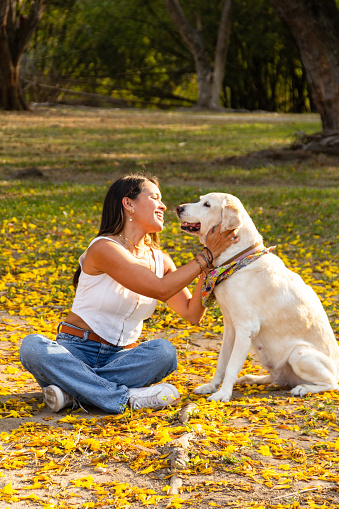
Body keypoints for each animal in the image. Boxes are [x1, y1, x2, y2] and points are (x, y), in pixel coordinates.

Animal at [178, 192, 339, 398]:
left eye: (207, 204)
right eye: (199, 200)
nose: (179, 208)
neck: (239, 259)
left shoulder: (246, 328)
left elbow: (231, 366)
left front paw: (223, 394)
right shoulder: (230, 327)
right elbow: (222, 363)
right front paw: (211, 386)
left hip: (300, 354)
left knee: (331, 383)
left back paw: (302, 388)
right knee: (277, 378)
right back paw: (251, 379)